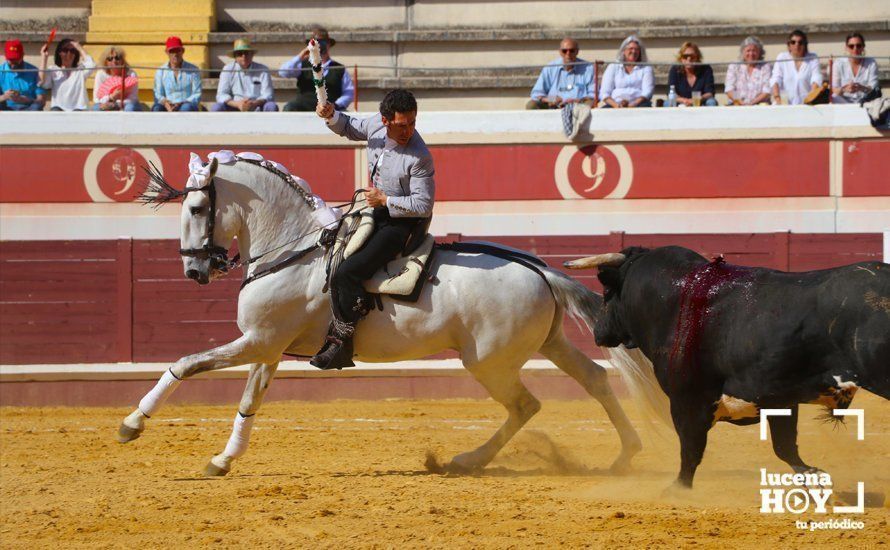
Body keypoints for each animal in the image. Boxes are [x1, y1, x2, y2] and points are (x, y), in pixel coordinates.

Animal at [119, 155, 644, 478]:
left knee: (525, 405)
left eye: (196, 206)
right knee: (595, 379)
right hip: (547, 344)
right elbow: (250, 402)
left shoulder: (258, 340)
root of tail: (540, 270)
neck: (291, 248)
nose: (194, 270)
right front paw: (224, 460)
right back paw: (626, 454)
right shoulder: (266, 347)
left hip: (489, 362)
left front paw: (133, 422)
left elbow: (185, 364)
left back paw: (466, 459)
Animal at [564, 248, 884, 490]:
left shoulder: (688, 401)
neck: (676, 301)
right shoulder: (779, 400)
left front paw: (677, 490)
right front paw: (816, 479)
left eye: (607, 291)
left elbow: (690, 449)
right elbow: (785, 447)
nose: (598, 331)